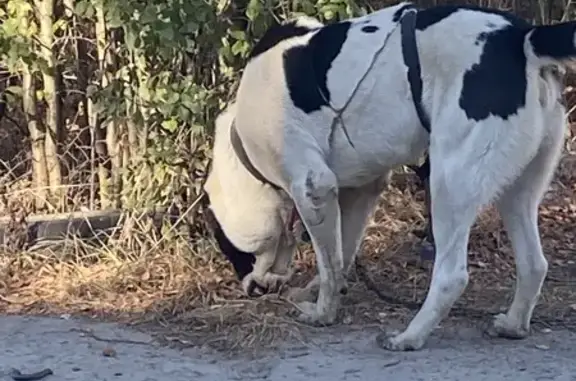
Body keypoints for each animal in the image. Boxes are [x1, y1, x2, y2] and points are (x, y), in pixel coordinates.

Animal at [205, 1, 568, 348]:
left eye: (232, 252)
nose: (249, 289)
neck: (241, 142)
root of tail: (522, 38)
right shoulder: (362, 189)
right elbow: (340, 256)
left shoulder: (313, 186)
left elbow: (328, 264)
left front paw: (322, 313)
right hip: (518, 192)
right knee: (534, 263)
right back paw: (512, 325)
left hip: (450, 183)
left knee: (451, 276)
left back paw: (409, 337)